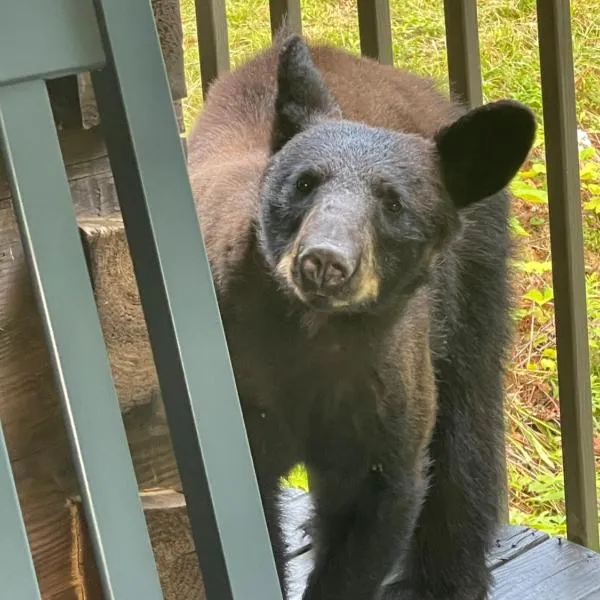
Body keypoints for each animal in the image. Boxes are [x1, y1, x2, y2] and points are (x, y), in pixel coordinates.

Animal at [188, 32, 536, 600]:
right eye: (304, 183)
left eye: (393, 205)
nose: (324, 261)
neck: (313, 338)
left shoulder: (385, 390)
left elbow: (379, 504)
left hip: (473, 290)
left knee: (466, 428)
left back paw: (445, 579)